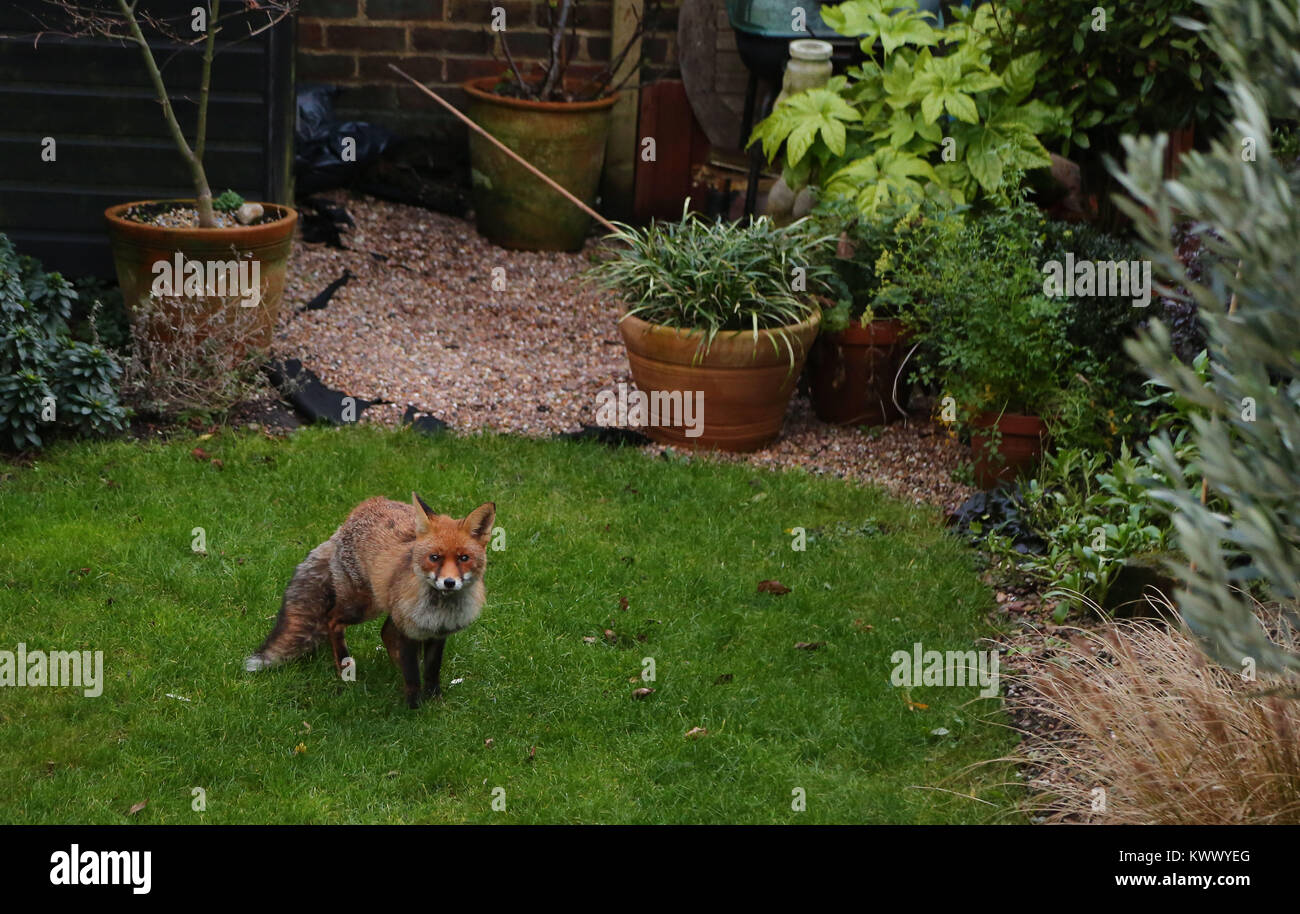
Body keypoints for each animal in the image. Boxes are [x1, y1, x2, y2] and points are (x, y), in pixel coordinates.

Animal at [244, 494, 496, 707]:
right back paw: (344, 666)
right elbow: (413, 676)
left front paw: (435, 702)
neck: (439, 610)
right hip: (363, 606)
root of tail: (359, 510)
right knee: (332, 620)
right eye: (434, 558)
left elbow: (432, 673)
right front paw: (414, 709)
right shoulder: (407, 630)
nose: (449, 582)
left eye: (464, 558)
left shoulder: (438, 634)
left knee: (385, 633)